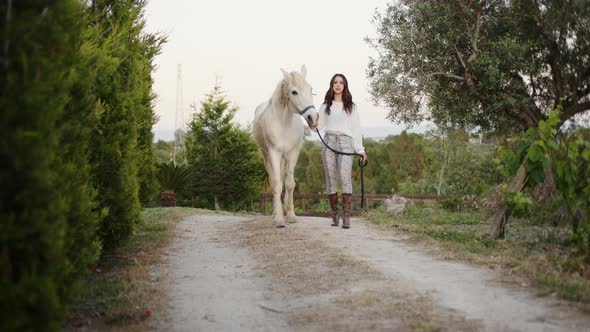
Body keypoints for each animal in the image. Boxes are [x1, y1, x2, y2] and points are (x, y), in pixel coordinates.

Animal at [253, 65, 320, 227]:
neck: (284, 123)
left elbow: (289, 184)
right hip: (267, 156)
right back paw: (274, 214)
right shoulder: (274, 153)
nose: (313, 118)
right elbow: (277, 184)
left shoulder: (293, 153)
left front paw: (290, 215)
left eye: (310, 89)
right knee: (273, 180)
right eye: (294, 92)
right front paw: (278, 219)